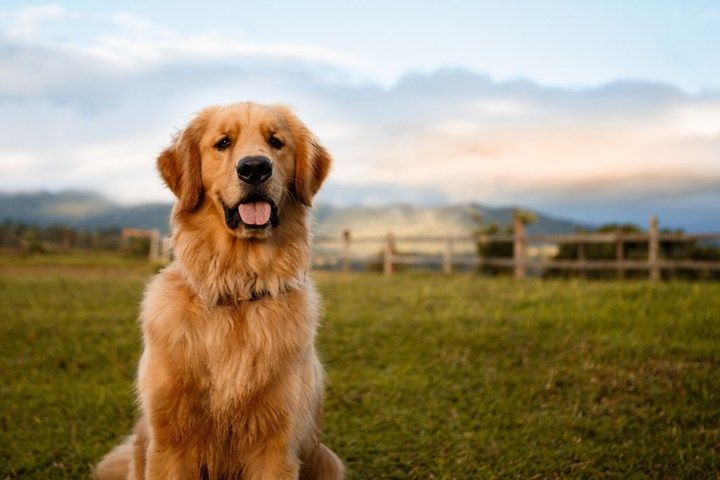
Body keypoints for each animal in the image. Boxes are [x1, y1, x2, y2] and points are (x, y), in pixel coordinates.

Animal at [95, 103, 344, 478]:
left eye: (276, 142)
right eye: (223, 142)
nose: (254, 167)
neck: (237, 289)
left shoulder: (277, 447)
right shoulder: (169, 443)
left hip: (327, 459)